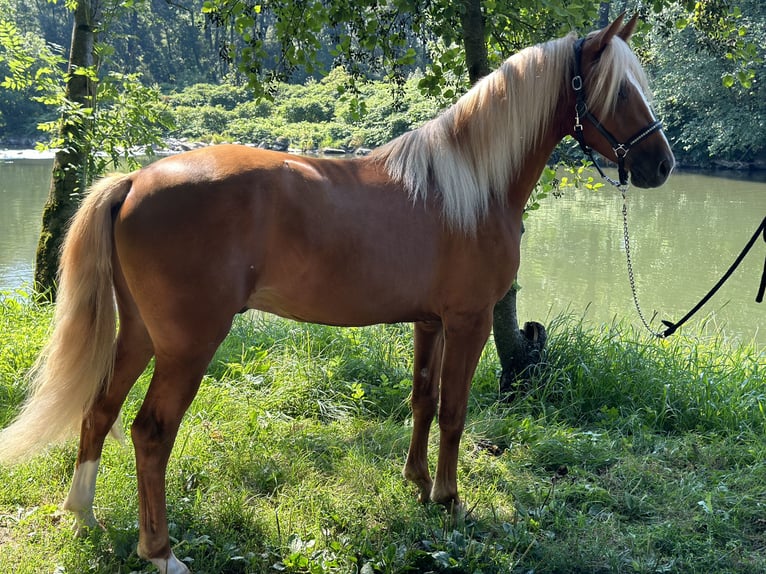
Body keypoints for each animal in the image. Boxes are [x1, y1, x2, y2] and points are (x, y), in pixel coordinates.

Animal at [1, 14, 672, 574]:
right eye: (619, 91)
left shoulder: (429, 322)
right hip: (187, 347)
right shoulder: (469, 320)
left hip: (140, 334)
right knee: (150, 434)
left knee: (99, 410)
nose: (661, 164)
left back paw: (83, 517)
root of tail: (138, 177)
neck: (469, 186)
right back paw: (161, 551)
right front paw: (450, 501)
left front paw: (417, 484)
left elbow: (423, 400)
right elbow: (455, 411)